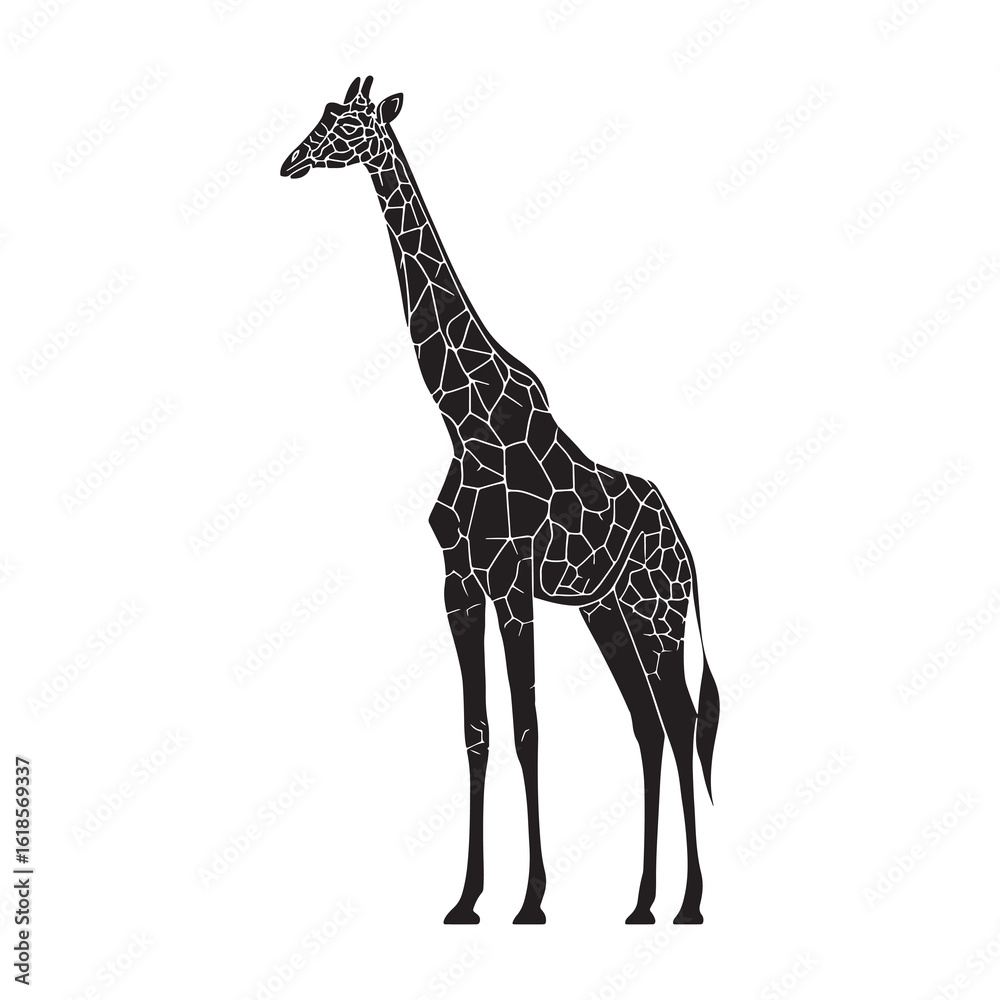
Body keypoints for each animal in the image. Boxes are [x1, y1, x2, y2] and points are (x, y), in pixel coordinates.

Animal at [280, 76, 720, 925]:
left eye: (348, 124)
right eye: (321, 116)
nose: (290, 162)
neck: (460, 415)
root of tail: (688, 549)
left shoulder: (513, 578)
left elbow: (526, 730)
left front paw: (531, 900)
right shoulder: (459, 581)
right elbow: (477, 731)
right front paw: (467, 898)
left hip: (658, 612)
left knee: (681, 721)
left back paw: (688, 902)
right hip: (606, 611)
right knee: (647, 726)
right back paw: (641, 902)